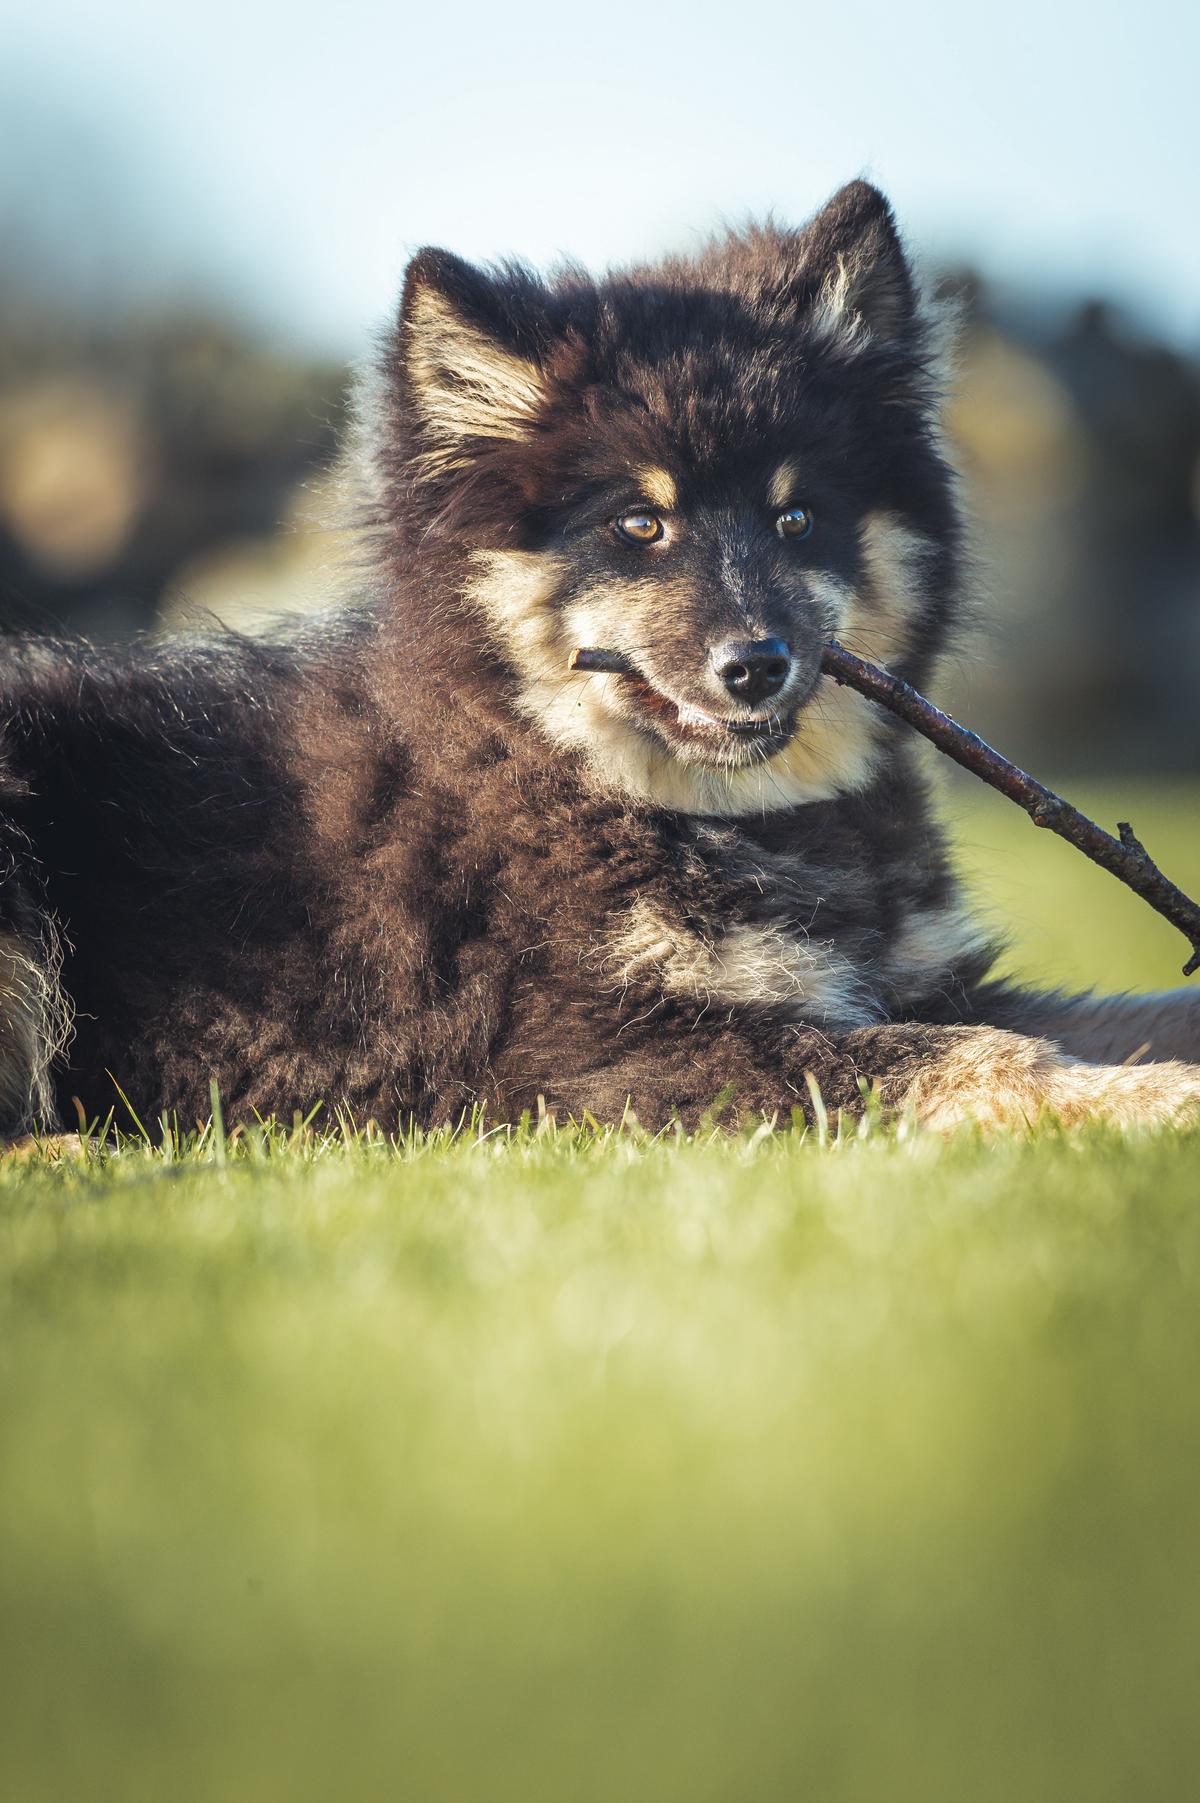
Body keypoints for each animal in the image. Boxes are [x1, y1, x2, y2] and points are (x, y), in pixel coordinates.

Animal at [2, 186, 1196, 1139]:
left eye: (798, 517)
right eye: (638, 525)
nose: (757, 664)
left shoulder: (922, 978)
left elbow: (1114, 1014)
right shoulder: (580, 1052)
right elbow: (968, 1056)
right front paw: (1152, 1100)